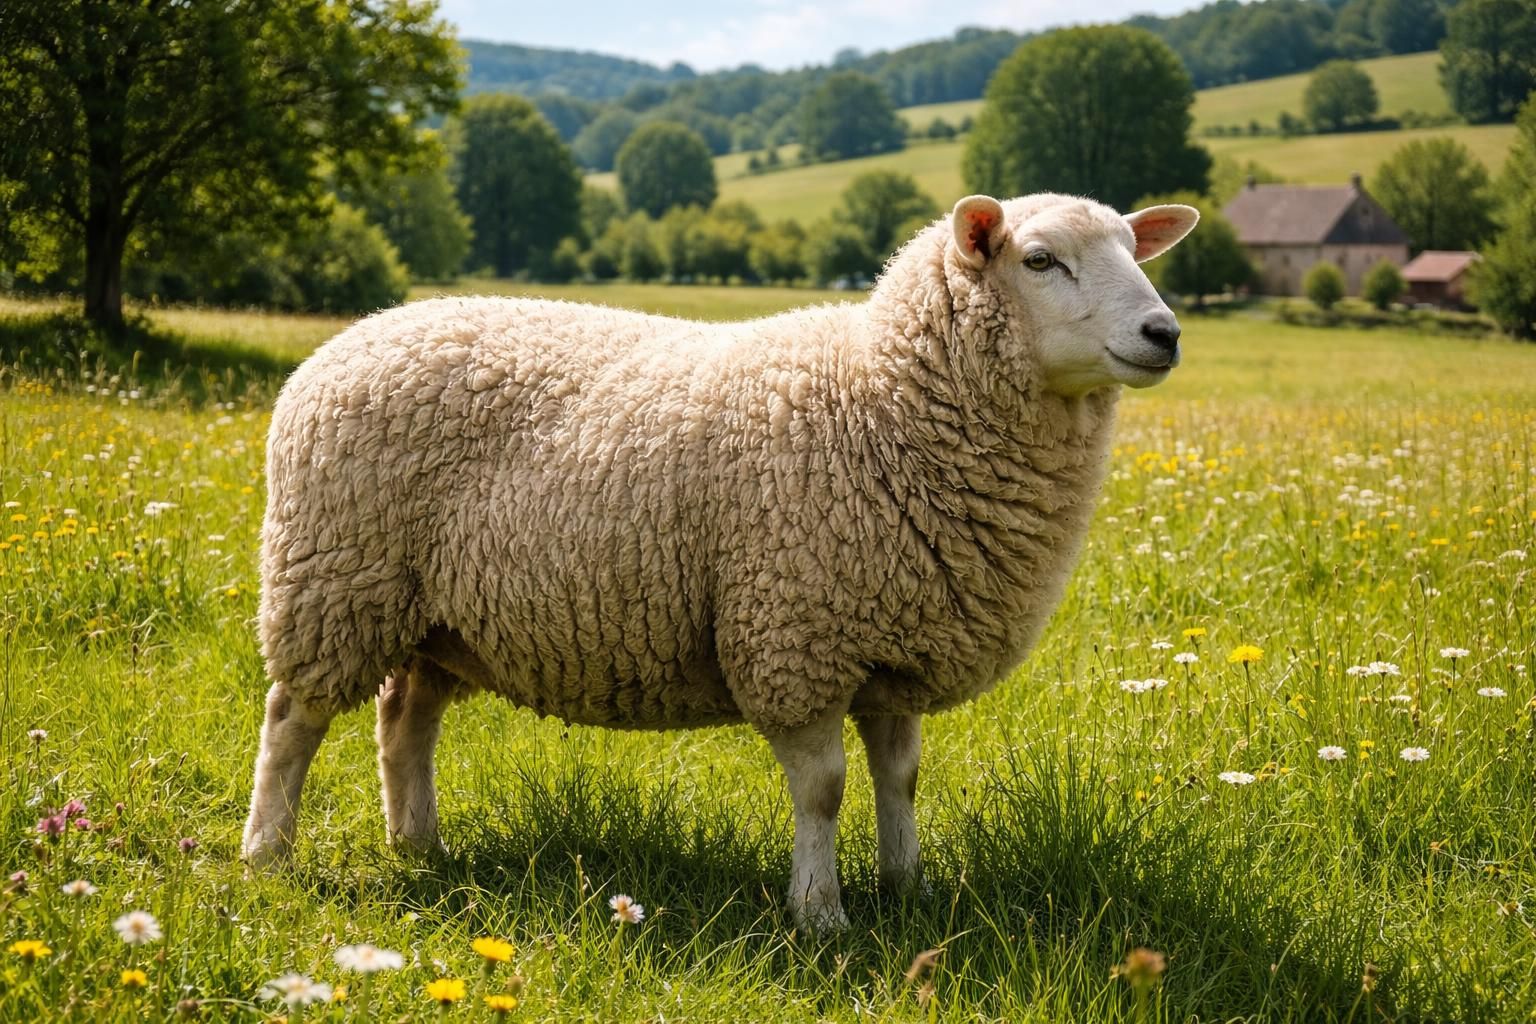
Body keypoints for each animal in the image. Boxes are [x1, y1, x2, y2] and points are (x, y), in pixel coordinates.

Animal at [242, 192, 1198, 930]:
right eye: (1040, 260)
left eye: (1133, 249)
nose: (1165, 333)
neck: (882, 394)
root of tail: (349, 340)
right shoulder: (795, 637)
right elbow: (823, 789)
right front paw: (821, 914)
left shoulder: (895, 642)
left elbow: (901, 779)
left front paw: (908, 889)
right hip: (335, 578)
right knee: (292, 718)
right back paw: (267, 855)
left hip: (433, 616)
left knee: (404, 722)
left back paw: (422, 847)